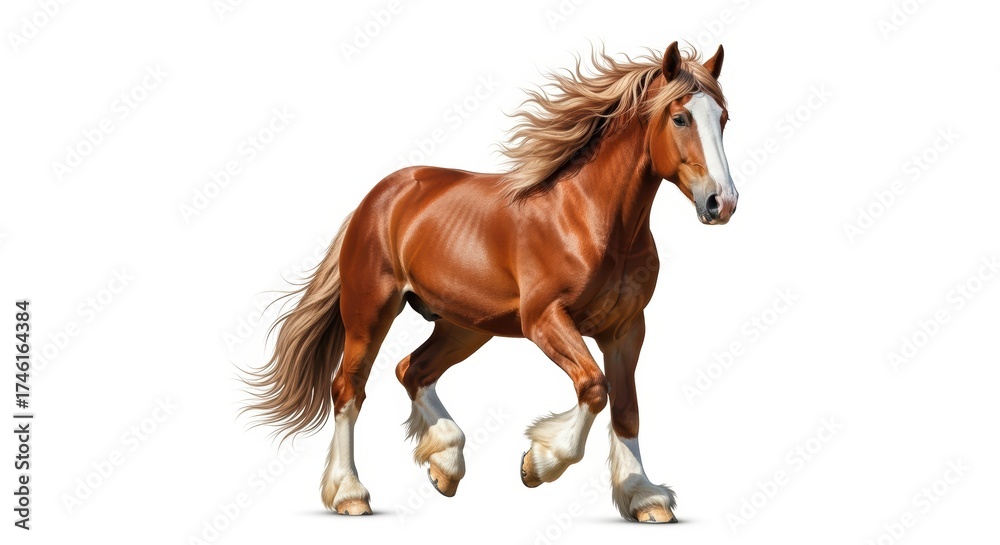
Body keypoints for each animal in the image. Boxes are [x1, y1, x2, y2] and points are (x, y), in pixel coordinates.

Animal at [243, 41, 738, 523]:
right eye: (679, 117)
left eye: (723, 118)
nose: (722, 202)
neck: (589, 218)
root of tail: (377, 198)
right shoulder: (545, 319)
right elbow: (595, 388)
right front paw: (537, 463)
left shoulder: (626, 329)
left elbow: (627, 409)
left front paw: (645, 498)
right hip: (370, 314)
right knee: (349, 390)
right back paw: (351, 494)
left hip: (465, 326)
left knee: (412, 369)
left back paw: (445, 465)